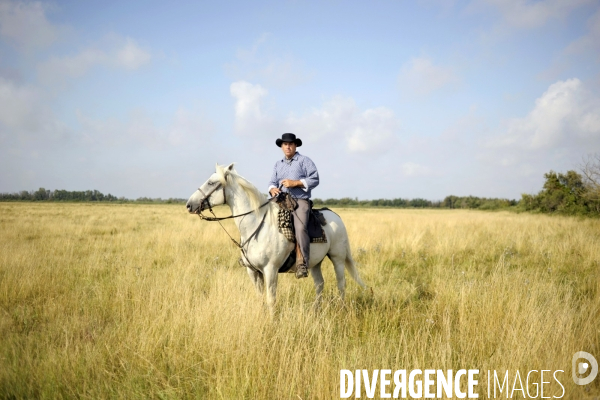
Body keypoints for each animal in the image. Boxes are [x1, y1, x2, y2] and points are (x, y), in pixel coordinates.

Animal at [186, 162, 366, 312]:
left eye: (211, 183)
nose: (189, 205)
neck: (256, 225)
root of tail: (336, 216)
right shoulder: (252, 271)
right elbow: (260, 297)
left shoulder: (270, 270)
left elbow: (271, 299)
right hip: (316, 262)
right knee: (319, 284)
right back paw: (316, 310)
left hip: (337, 258)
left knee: (341, 284)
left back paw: (341, 308)